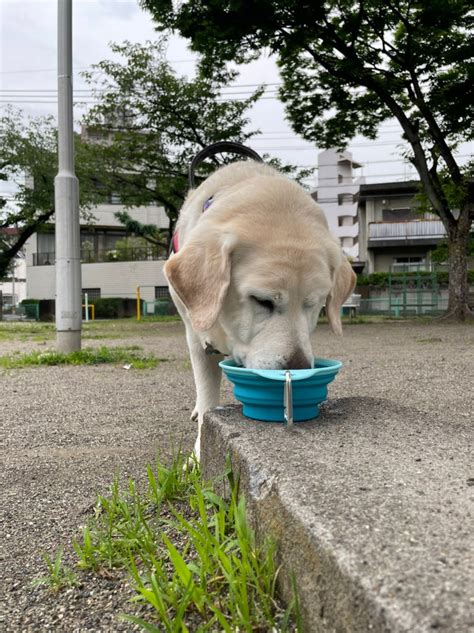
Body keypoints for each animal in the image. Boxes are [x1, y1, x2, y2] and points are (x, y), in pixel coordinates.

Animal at [165, 158, 354, 454]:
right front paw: (198, 452)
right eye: (261, 300)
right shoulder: (196, 337)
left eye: (314, 304)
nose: (297, 369)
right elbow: (207, 394)